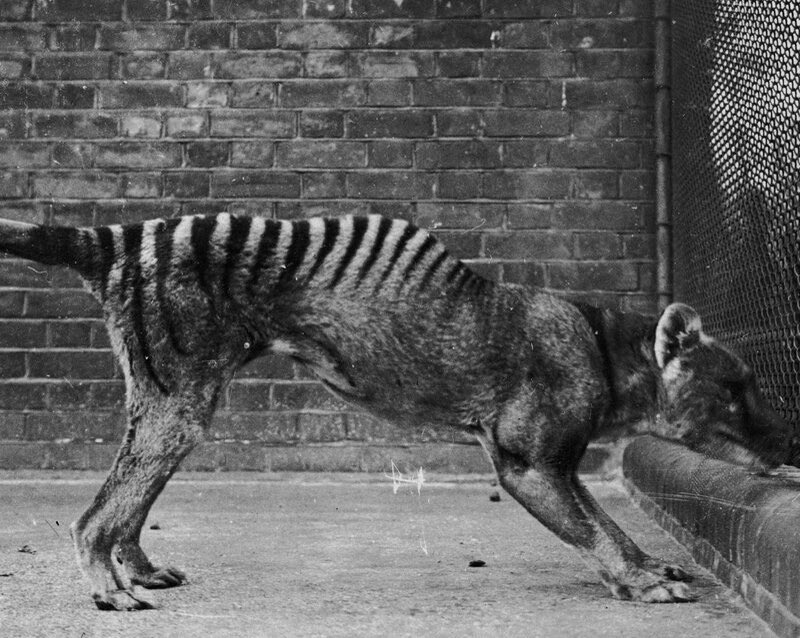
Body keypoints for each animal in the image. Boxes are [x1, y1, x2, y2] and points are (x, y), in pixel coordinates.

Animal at [0, 213, 790, 610]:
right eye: (736, 388)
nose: (790, 441)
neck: (604, 350)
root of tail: (113, 237)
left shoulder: (557, 466)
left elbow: (609, 524)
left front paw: (646, 565)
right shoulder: (529, 465)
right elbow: (596, 531)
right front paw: (640, 580)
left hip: (180, 408)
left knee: (128, 504)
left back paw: (136, 570)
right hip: (179, 405)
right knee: (94, 517)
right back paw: (108, 590)